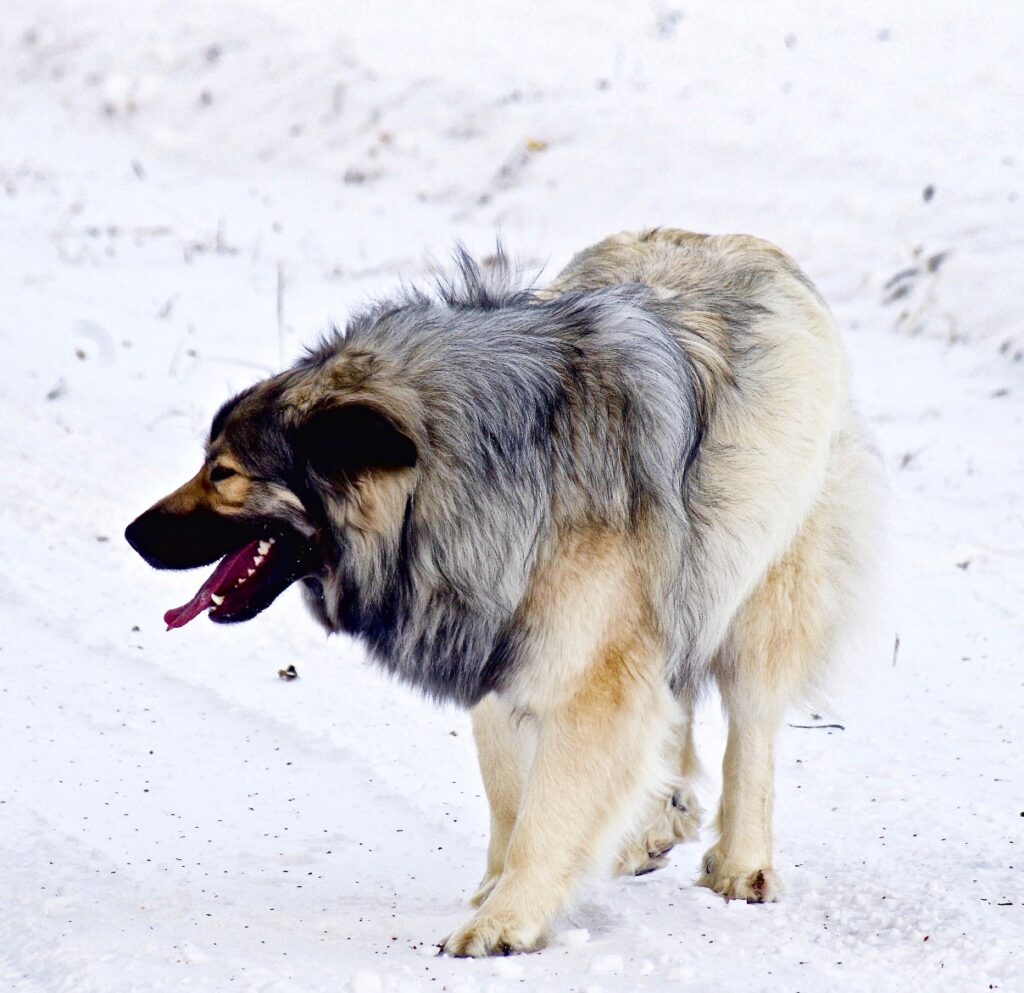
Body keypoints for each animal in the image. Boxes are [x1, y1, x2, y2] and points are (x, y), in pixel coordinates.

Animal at [125, 230, 880, 954]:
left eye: (223, 473)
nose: (132, 534)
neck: (461, 474)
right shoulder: (499, 642)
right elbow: (515, 793)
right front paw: (501, 889)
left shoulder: (588, 672)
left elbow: (552, 808)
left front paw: (508, 920)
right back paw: (651, 828)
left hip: (762, 593)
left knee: (751, 730)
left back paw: (741, 865)